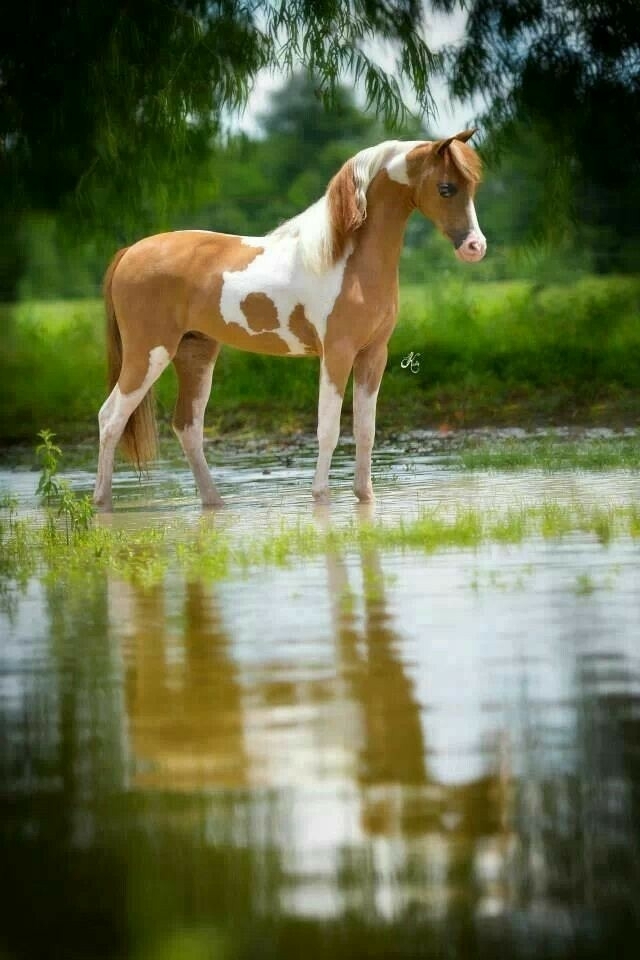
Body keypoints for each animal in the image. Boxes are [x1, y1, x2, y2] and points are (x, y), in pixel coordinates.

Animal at [93, 130, 486, 510]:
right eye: (446, 188)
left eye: (472, 187)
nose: (475, 247)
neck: (348, 261)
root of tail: (130, 252)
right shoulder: (337, 354)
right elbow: (328, 428)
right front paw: (321, 497)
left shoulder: (374, 354)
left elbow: (366, 430)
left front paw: (365, 497)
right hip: (148, 353)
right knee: (110, 418)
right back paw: (102, 503)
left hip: (196, 353)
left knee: (187, 426)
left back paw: (214, 502)